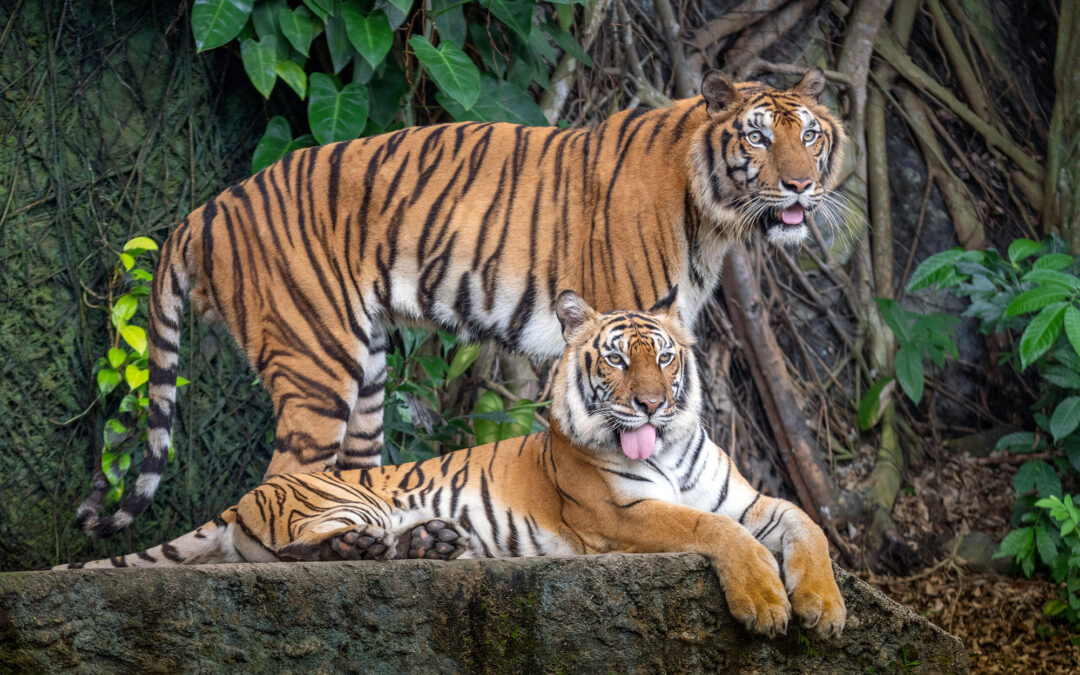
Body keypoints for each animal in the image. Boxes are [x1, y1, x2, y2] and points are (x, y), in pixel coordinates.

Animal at [61, 289, 847, 639]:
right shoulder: (623, 514)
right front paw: (766, 604)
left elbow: (808, 527)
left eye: (665, 356)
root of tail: (249, 495)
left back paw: (435, 541)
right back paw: (371, 547)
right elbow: (717, 533)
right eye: (618, 360)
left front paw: (824, 608)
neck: (674, 450)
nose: (651, 406)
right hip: (344, 500)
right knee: (298, 555)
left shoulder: (755, 501)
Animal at [77, 67, 846, 536]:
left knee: (353, 477)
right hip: (317, 361)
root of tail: (206, 209)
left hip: (367, 368)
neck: (714, 217)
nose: (802, 186)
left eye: (810, 134)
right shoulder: (617, 329)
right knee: (280, 483)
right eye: (758, 135)